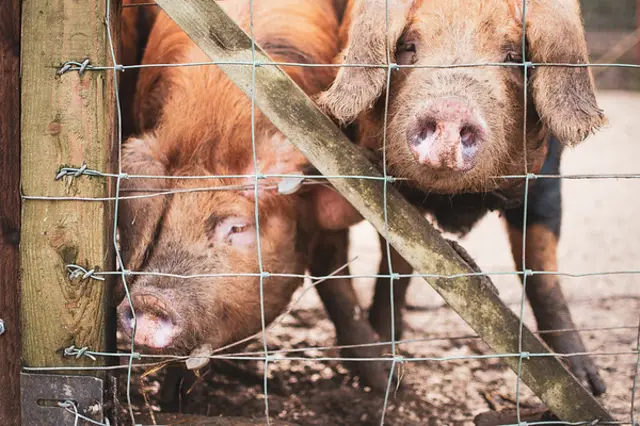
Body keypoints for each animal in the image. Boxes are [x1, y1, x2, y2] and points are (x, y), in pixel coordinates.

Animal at [117, 0, 392, 400]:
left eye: (238, 227)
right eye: (161, 222)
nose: (149, 302)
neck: (215, 133)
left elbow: (334, 280)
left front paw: (387, 384)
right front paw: (174, 402)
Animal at [312, 0, 608, 394]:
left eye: (514, 56)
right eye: (408, 46)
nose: (451, 109)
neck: (457, 199)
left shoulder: (546, 182)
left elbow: (540, 272)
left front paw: (590, 385)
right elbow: (399, 263)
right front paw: (391, 359)